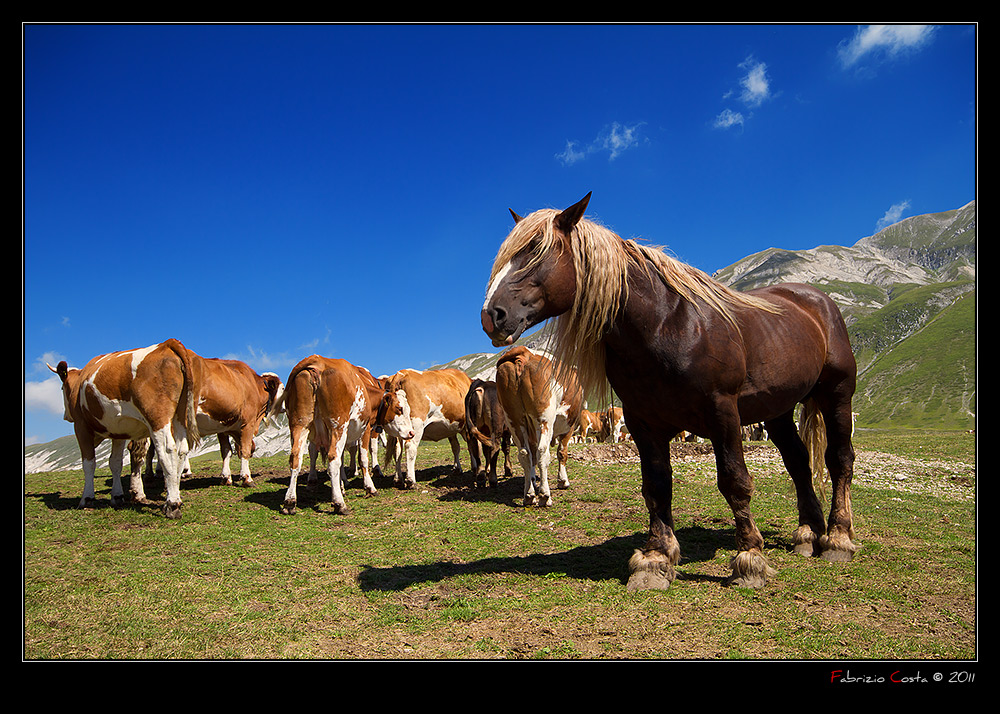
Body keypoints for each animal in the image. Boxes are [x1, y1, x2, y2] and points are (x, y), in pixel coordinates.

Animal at [47, 340, 202, 516]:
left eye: (61, 388)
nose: (65, 415)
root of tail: (167, 344)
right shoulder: (118, 432)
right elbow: (115, 463)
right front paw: (117, 496)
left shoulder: (81, 426)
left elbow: (89, 463)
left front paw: (87, 498)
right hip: (180, 416)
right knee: (182, 449)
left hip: (157, 417)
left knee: (168, 450)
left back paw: (172, 503)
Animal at [280, 354, 412, 512]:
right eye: (400, 409)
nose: (411, 432)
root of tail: (317, 362)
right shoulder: (365, 428)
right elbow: (363, 458)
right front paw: (369, 487)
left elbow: (342, 459)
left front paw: (342, 484)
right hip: (338, 425)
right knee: (333, 459)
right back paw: (339, 503)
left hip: (300, 424)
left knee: (296, 457)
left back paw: (290, 501)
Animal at [494, 344, 584, 506]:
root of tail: (524, 353)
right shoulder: (569, 426)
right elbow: (562, 452)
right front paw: (563, 481)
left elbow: (532, 457)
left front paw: (533, 480)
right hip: (544, 418)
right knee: (542, 452)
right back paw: (544, 495)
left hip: (514, 419)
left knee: (525, 454)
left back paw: (529, 495)